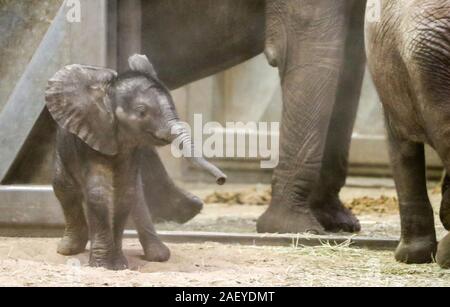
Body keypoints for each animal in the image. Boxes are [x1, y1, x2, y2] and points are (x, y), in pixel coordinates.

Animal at [46, 54, 225, 270]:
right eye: (141, 111)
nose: (221, 180)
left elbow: (125, 194)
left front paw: (119, 265)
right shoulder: (92, 138)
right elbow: (98, 193)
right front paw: (101, 265)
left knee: (137, 196)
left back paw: (159, 256)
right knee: (63, 187)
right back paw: (68, 250)